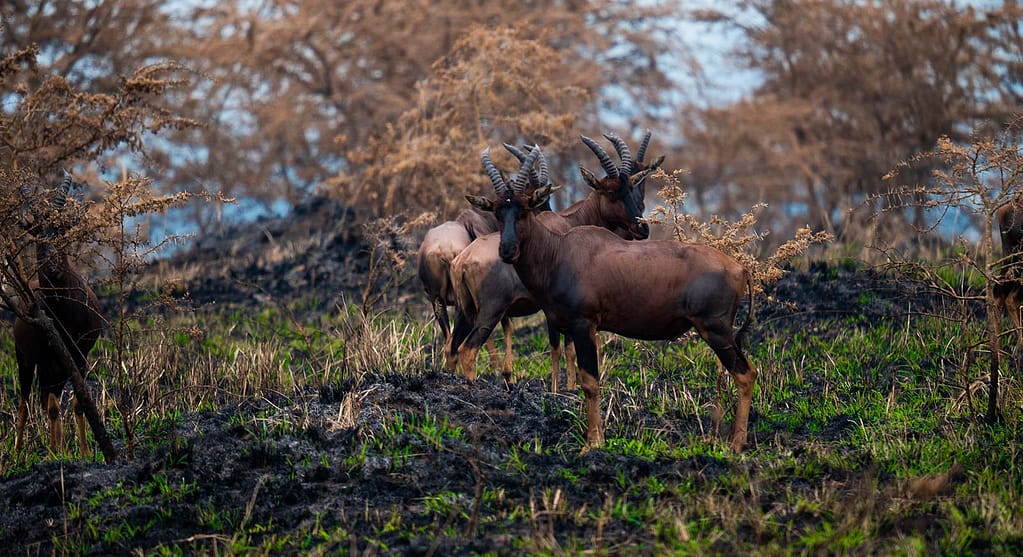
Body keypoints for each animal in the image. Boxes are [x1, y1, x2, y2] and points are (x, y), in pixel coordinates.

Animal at [14, 172, 104, 458]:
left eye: (61, 231)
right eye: (37, 236)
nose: (51, 267)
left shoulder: (80, 356)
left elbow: (79, 403)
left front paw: (84, 453)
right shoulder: (46, 358)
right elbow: (53, 407)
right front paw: (56, 454)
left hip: (58, 367)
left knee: (45, 400)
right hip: (26, 361)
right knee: (27, 402)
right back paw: (20, 454)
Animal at [448, 132, 662, 389]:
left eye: (631, 186)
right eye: (610, 192)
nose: (642, 228)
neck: (568, 223)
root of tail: (463, 259)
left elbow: (564, 348)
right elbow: (561, 348)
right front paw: (564, 390)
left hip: (464, 312)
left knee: (451, 349)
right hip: (490, 311)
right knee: (467, 350)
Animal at [468, 144, 757, 452]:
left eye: (525, 209)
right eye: (498, 211)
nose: (506, 250)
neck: (560, 251)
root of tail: (740, 268)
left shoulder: (584, 325)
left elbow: (590, 382)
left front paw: (592, 444)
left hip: (716, 330)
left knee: (745, 373)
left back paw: (737, 444)